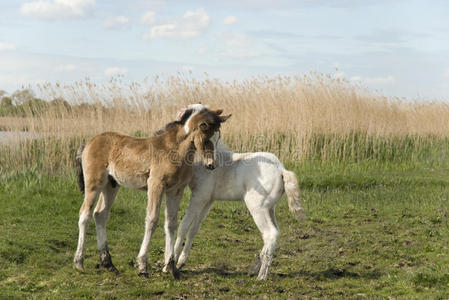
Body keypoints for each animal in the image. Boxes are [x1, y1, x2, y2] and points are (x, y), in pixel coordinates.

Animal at [172, 143, 304, 278]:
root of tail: (281, 170)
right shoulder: (207, 200)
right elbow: (193, 229)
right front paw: (181, 262)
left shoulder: (198, 197)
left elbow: (183, 226)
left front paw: (172, 262)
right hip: (270, 209)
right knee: (275, 232)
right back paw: (254, 268)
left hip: (257, 208)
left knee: (270, 233)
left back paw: (261, 276)